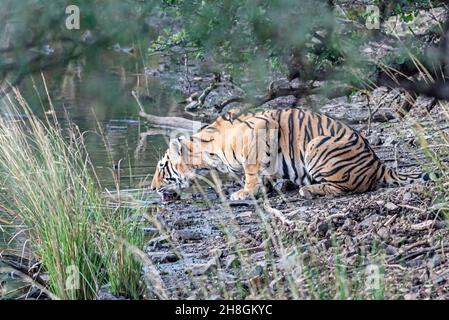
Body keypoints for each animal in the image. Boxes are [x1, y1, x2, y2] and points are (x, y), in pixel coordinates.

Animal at [151, 109, 430, 201]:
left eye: (162, 168)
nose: (152, 188)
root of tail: (377, 162)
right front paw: (269, 188)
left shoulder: (260, 130)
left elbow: (251, 171)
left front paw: (244, 192)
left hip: (317, 145)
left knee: (346, 188)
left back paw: (308, 190)